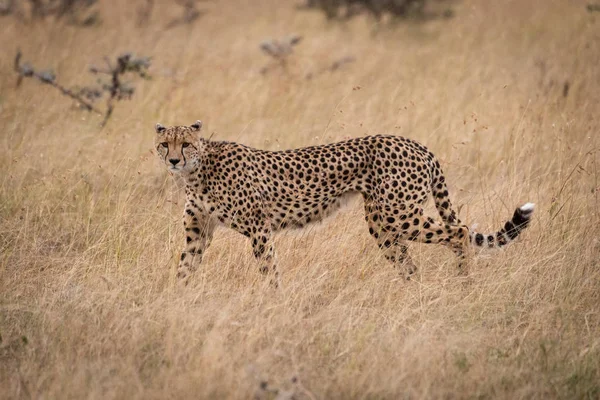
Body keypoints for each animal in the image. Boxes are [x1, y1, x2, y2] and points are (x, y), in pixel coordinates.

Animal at [155, 120, 536, 282]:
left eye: (185, 144)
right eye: (164, 144)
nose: (172, 160)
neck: (198, 170)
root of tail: (416, 144)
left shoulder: (259, 228)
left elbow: (268, 270)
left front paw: (272, 300)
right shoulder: (198, 233)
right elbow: (184, 268)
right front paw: (177, 300)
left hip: (400, 214)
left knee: (459, 231)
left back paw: (463, 283)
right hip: (382, 223)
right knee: (410, 262)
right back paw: (412, 294)